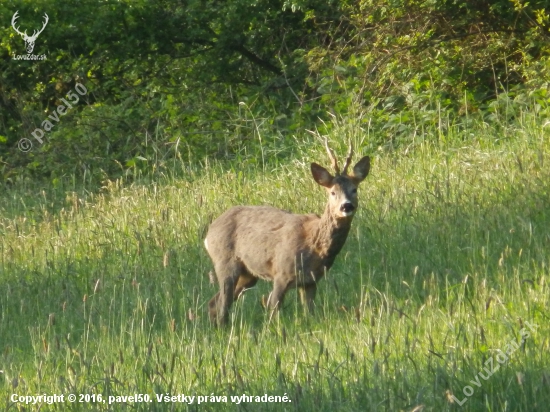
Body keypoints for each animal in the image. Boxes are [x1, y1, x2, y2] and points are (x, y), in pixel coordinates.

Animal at [206, 142, 370, 326]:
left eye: (354, 189)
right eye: (332, 192)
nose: (346, 206)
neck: (315, 246)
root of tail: (210, 232)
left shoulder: (311, 281)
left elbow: (310, 314)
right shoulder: (281, 273)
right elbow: (272, 309)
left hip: (248, 274)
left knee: (214, 303)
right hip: (225, 262)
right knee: (223, 304)